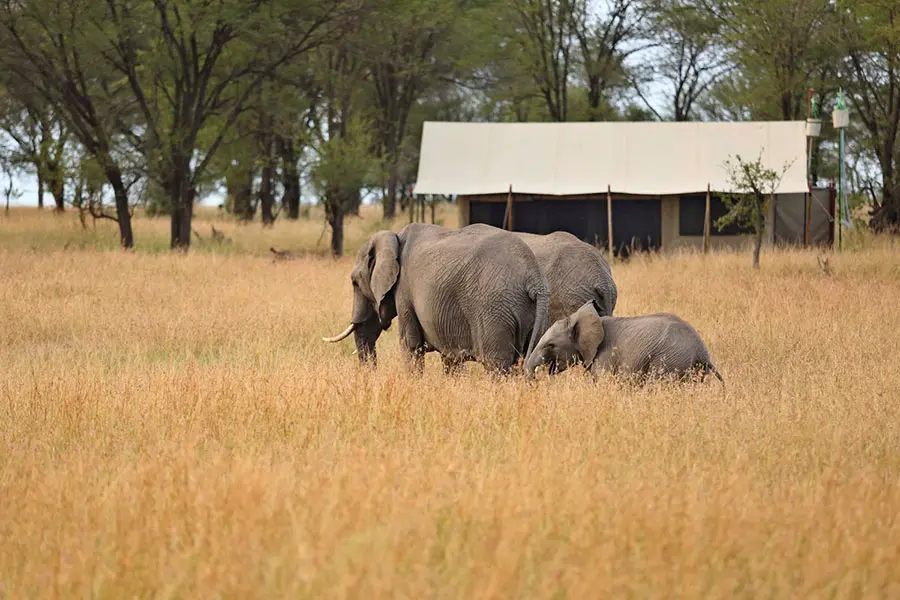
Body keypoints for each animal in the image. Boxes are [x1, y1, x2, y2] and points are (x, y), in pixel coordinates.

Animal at [322, 223, 548, 376]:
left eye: (354, 283)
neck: (394, 237)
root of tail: (533, 278)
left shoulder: (405, 291)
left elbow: (410, 345)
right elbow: (450, 358)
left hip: (493, 310)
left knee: (497, 365)